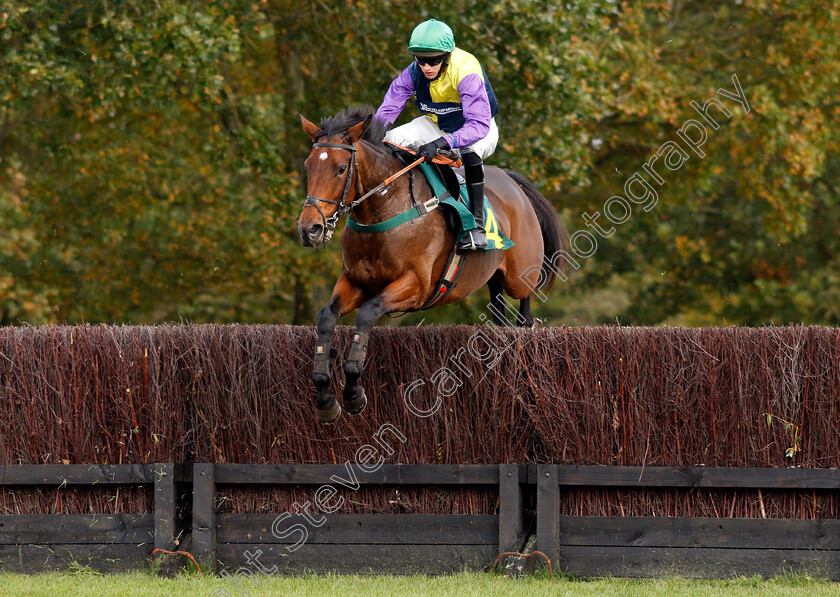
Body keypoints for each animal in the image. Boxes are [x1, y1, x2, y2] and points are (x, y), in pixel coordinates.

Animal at [296, 107, 572, 424]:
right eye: (308, 166)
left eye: (341, 169)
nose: (309, 229)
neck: (386, 209)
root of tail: (512, 182)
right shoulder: (354, 281)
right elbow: (326, 317)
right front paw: (325, 397)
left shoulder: (416, 286)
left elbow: (367, 314)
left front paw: (353, 392)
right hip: (494, 276)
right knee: (499, 312)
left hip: (521, 274)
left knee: (524, 312)